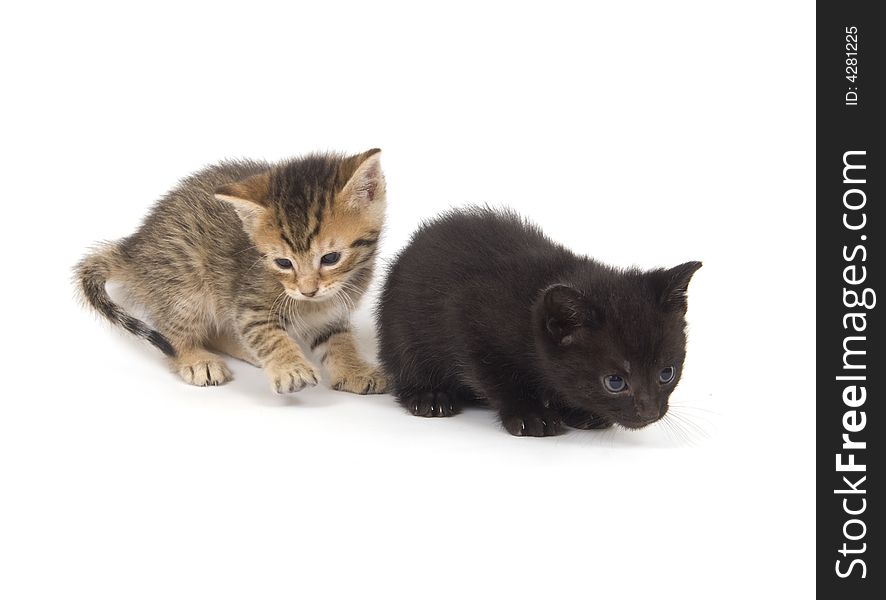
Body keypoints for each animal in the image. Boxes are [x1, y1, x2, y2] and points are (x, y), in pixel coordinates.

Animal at [78, 149, 390, 394]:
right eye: (283, 263)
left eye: (331, 258)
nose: (307, 290)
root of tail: (135, 246)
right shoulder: (249, 304)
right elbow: (266, 333)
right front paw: (289, 367)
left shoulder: (331, 313)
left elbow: (338, 340)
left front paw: (354, 371)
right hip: (185, 285)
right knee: (173, 333)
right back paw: (195, 358)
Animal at [374, 210, 700, 436]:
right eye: (615, 382)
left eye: (667, 373)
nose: (650, 412)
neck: (527, 313)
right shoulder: (470, 322)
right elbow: (499, 377)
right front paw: (531, 414)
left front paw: (578, 412)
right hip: (401, 330)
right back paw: (429, 395)